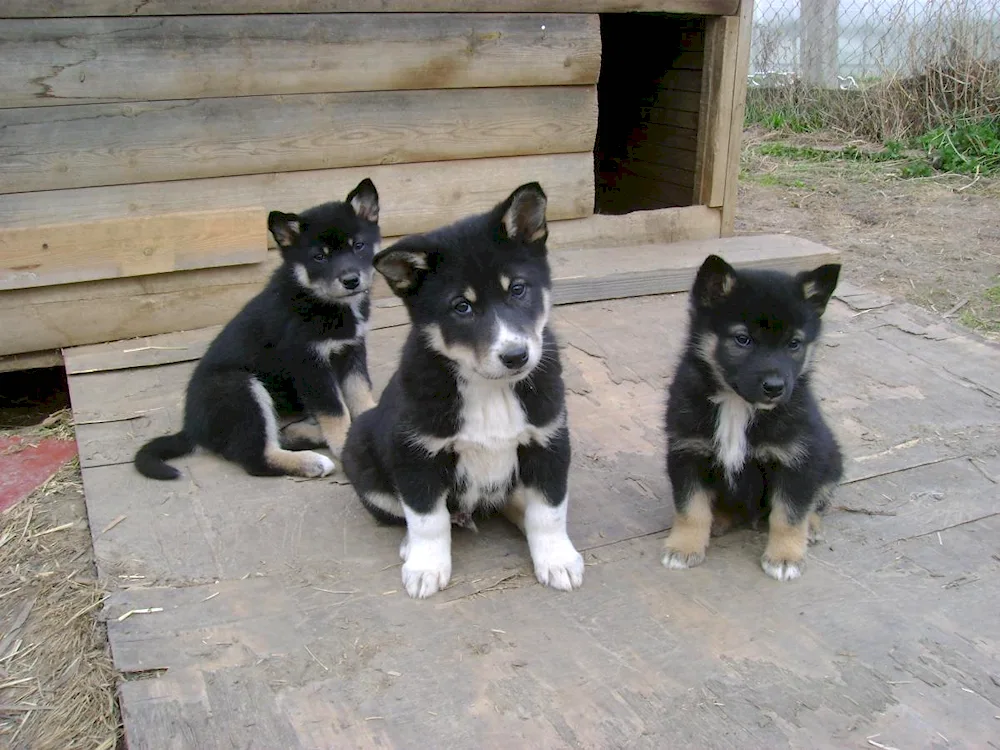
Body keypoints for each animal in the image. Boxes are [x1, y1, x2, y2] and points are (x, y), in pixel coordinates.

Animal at [132, 179, 378, 478]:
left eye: (359, 246)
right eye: (319, 257)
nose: (351, 280)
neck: (319, 300)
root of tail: (192, 430)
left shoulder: (352, 350)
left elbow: (360, 394)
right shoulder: (310, 364)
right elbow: (335, 412)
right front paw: (346, 447)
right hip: (240, 388)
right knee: (256, 458)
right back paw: (311, 462)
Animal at [342, 185, 584, 604]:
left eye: (517, 288)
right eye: (462, 306)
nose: (516, 356)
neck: (490, 389)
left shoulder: (548, 441)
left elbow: (548, 512)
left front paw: (556, 559)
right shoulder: (416, 453)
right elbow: (428, 519)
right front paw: (426, 567)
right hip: (361, 452)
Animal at [664, 256, 844, 584]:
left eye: (794, 344)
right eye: (743, 339)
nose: (775, 387)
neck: (737, 406)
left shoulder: (797, 461)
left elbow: (790, 514)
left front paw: (785, 557)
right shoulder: (687, 452)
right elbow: (691, 508)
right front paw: (683, 547)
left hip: (830, 457)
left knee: (818, 499)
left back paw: (811, 526)